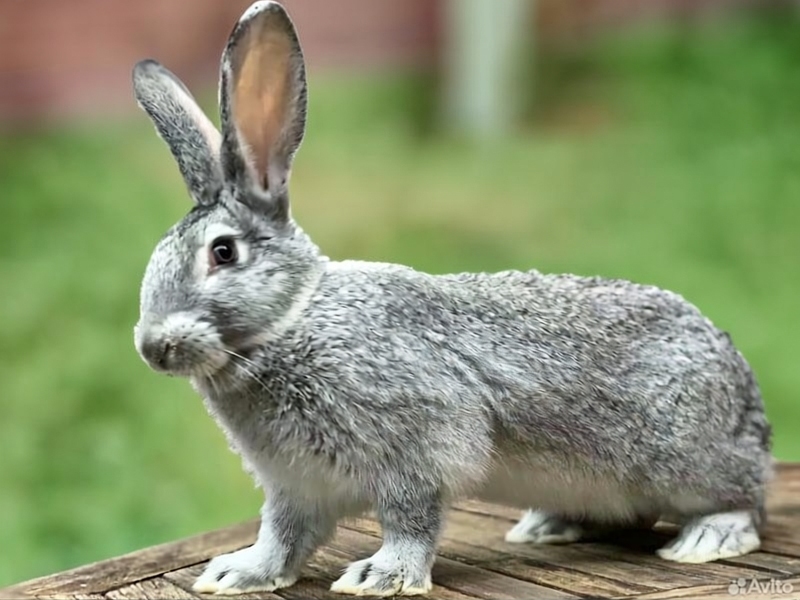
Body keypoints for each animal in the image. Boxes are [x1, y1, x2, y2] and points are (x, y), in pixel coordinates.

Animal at [130, 1, 773, 596]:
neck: (292, 320)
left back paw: (707, 538)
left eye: (222, 253)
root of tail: (745, 391)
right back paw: (547, 527)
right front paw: (237, 573)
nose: (152, 347)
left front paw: (380, 577)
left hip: (684, 459)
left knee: (748, 496)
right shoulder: (297, 485)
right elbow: (282, 534)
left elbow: (409, 520)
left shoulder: (418, 450)